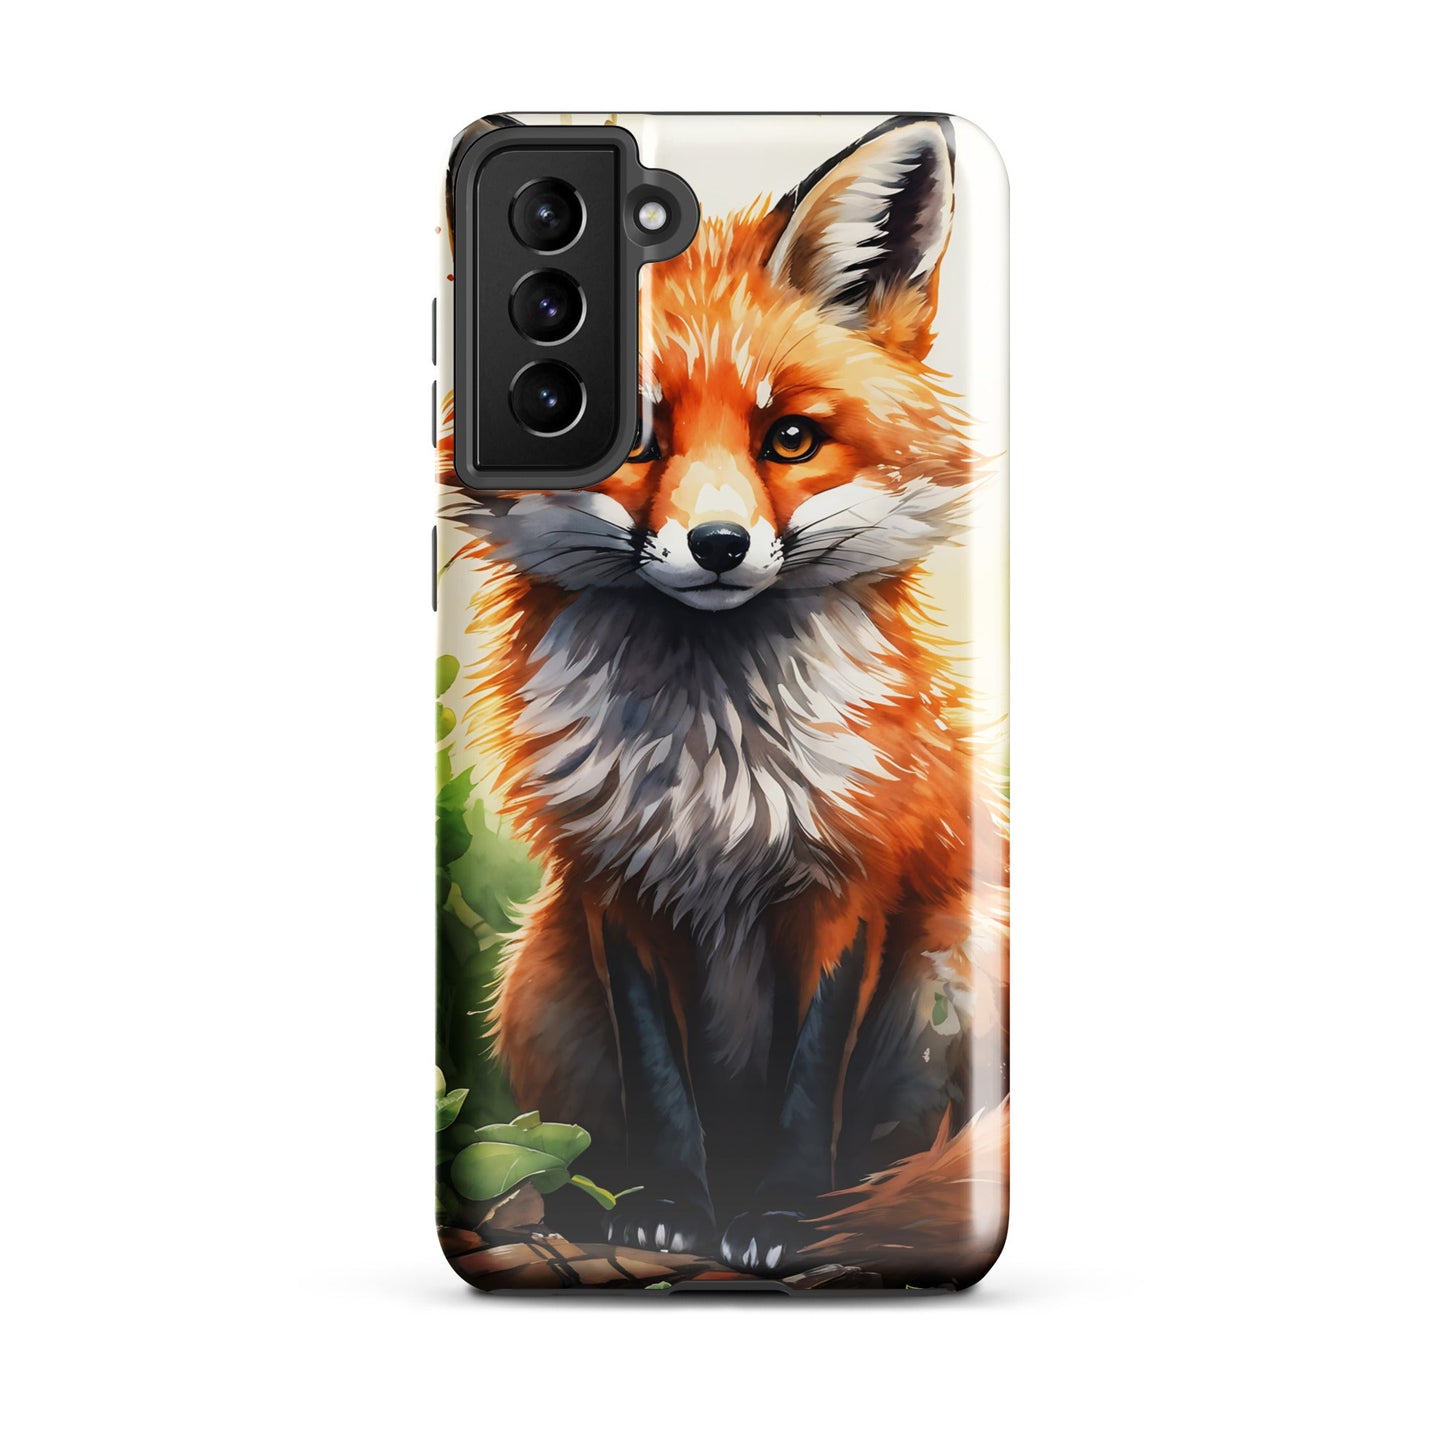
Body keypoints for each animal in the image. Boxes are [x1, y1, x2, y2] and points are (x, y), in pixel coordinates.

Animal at [441, 116, 1008, 1282]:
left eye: (788, 437)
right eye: (634, 440)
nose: (716, 545)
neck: (716, 771)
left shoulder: (849, 878)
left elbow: (808, 1080)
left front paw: (781, 1214)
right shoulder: (613, 883)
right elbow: (661, 1081)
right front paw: (667, 1207)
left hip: (961, 953)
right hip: (536, 973)